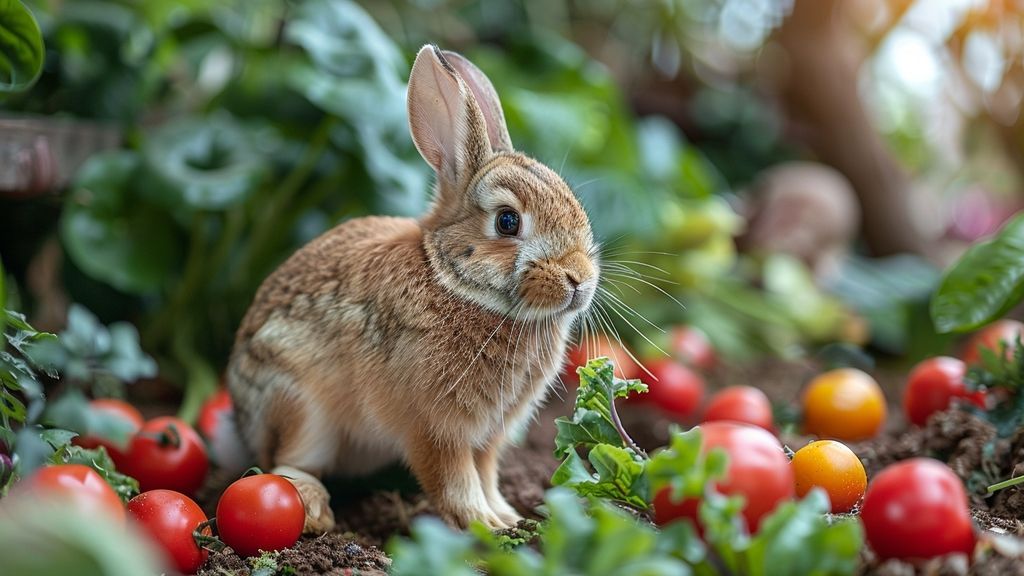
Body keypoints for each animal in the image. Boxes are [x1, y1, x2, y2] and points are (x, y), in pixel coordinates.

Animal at [226, 42, 598, 532]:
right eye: (507, 221)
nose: (580, 279)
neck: (453, 282)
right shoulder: (435, 427)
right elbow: (455, 480)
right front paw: (483, 526)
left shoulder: (489, 435)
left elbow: (486, 474)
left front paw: (508, 517)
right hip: (300, 405)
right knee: (286, 461)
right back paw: (314, 509)